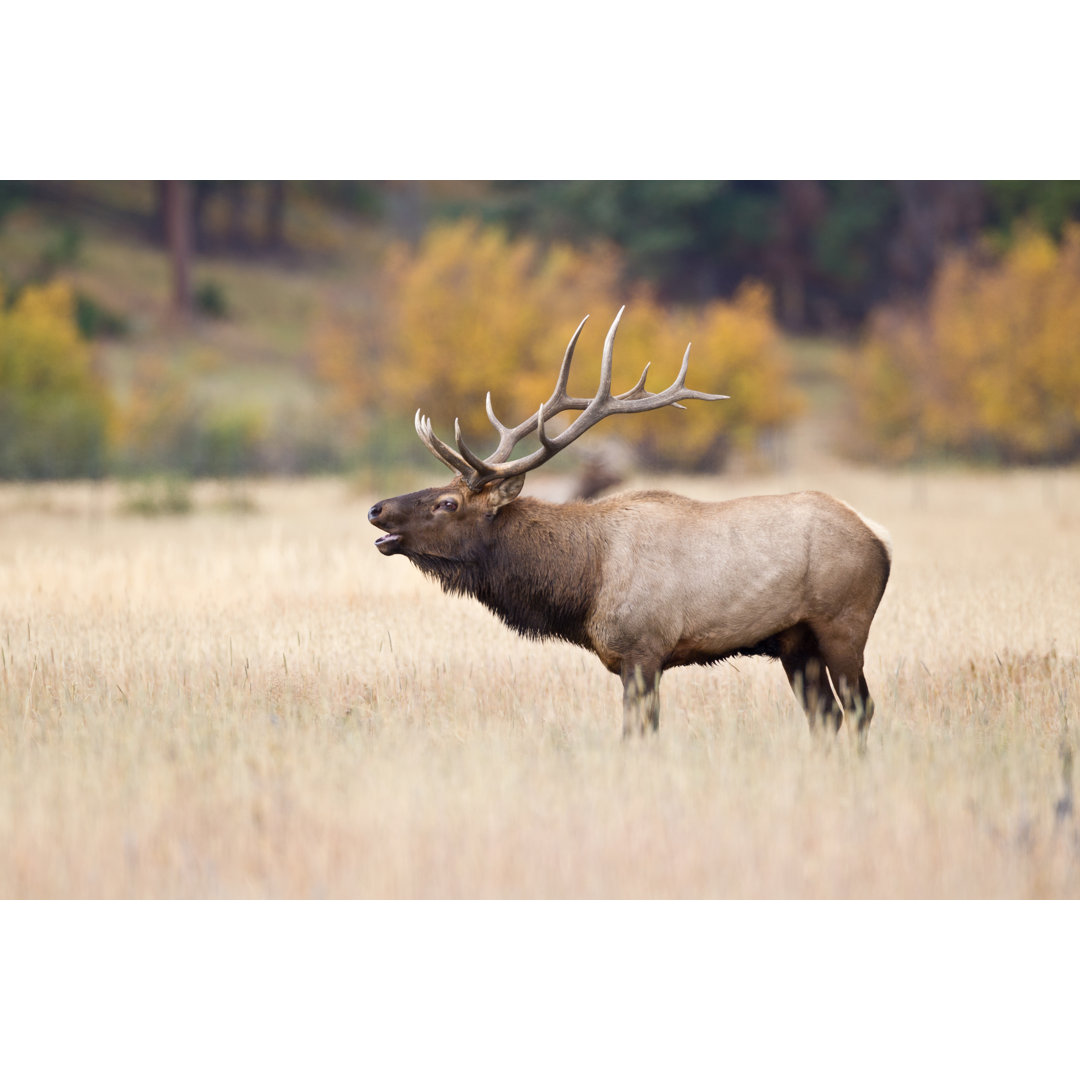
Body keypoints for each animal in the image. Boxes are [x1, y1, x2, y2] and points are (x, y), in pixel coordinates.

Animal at [367, 308, 889, 738]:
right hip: (795, 641)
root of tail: (879, 539)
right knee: (826, 715)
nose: (376, 509)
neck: (583, 582)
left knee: (860, 707)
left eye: (448, 502)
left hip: (844, 622)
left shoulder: (643, 648)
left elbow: (639, 732)